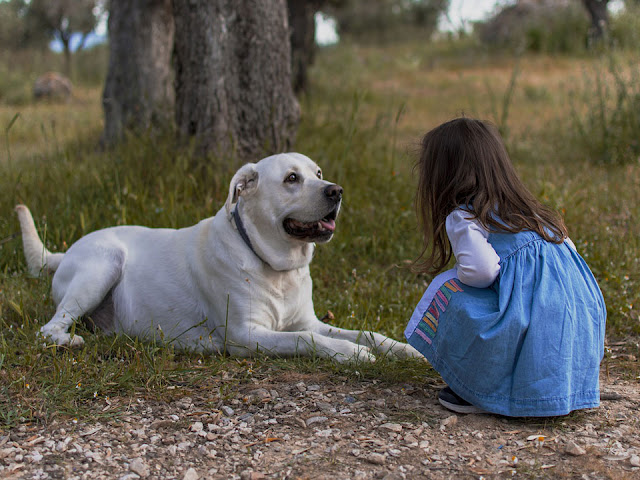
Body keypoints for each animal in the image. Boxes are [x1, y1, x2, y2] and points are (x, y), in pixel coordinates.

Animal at [16, 152, 420, 362]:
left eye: (318, 173)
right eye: (291, 178)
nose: (336, 191)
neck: (275, 266)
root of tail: (65, 252)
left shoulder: (308, 320)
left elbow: (367, 332)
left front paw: (405, 349)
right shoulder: (246, 335)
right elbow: (310, 341)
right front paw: (353, 354)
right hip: (103, 264)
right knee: (49, 328)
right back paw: (68, 341)